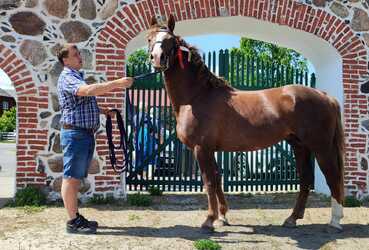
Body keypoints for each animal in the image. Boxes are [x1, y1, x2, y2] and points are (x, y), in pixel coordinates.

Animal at [146, 14, 344, 231]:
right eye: (149, 38)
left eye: (170, 41)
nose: (157, 58)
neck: (197, 96)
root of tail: (325, 96)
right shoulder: (211, 149)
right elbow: (217, 179)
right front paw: (222, 216)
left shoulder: (202, 148)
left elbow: (208, 182)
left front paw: (209, 219)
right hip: (299, 146)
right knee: (306, 179)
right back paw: (292, 218)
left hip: (321, 147)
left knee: (332, 177)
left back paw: (335, 221)